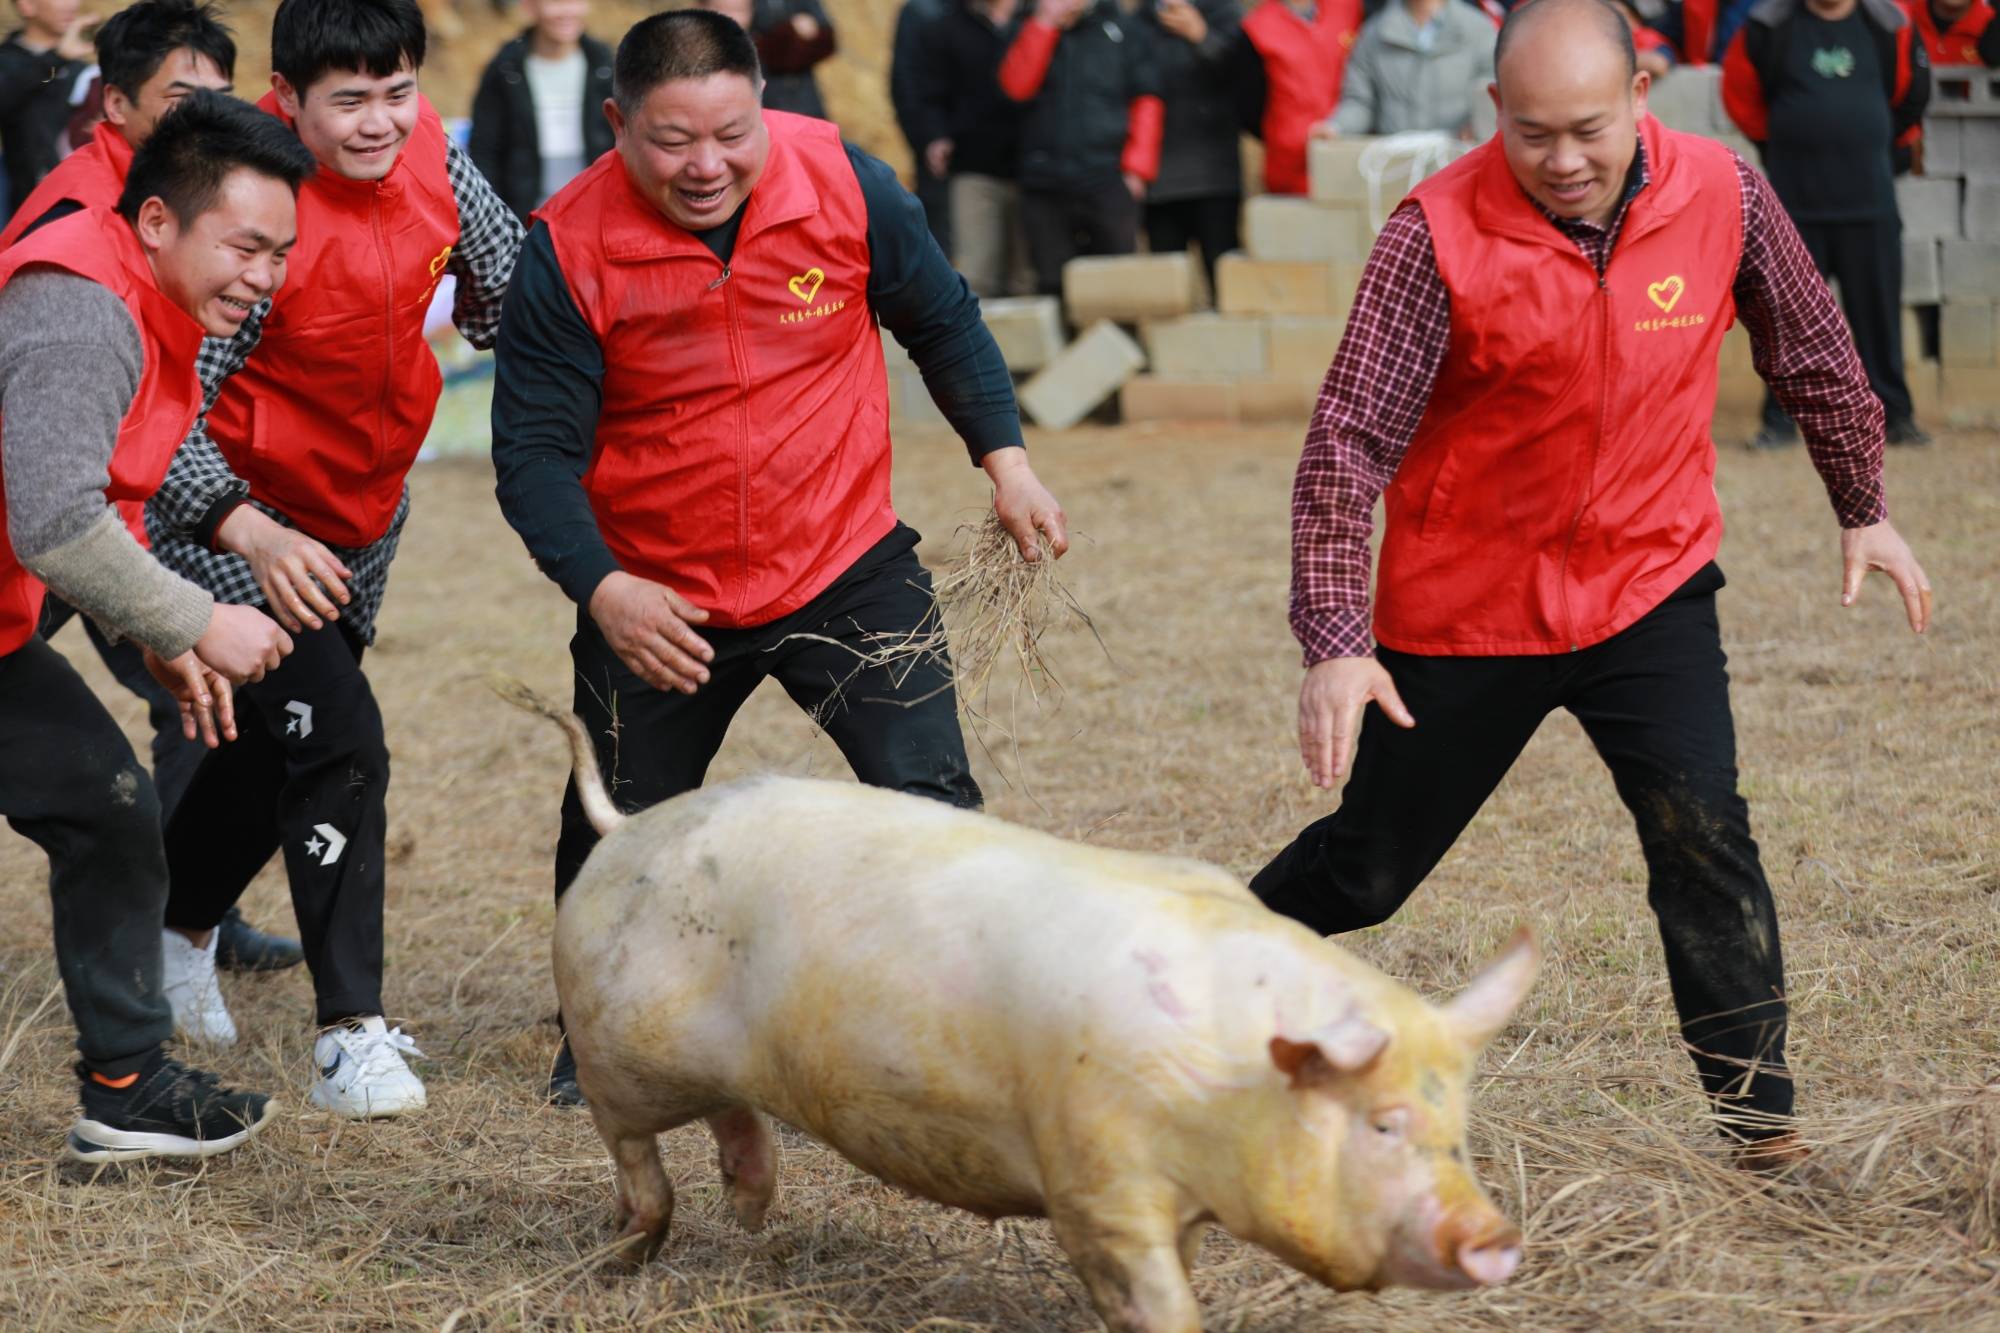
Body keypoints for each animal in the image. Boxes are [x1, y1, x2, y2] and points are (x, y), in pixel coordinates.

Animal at [528, 696, 1528, 1328]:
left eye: (1458, 1124)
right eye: (1384, 1122)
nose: (1496, 1238)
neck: (1225, 1077)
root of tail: (627, 827)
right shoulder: (1095, 1173)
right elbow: (1149, 1294)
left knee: (732, 1117)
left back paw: (749, 1214)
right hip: (617, 1051)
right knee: (634, 1153)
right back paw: (623, 1257)